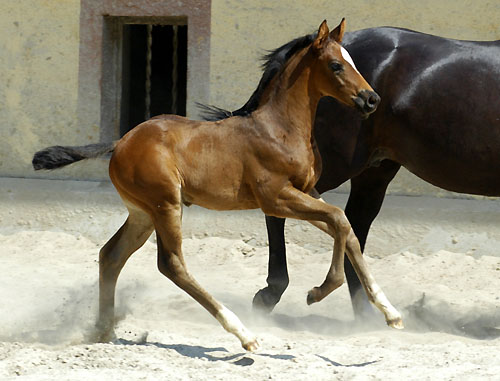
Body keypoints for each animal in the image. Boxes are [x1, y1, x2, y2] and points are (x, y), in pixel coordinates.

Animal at [32, 19, 402, 348]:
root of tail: (120, 142)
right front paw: (318, 291)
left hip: (142, 213)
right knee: (171, 264)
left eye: (354, 62)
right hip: (166, 204)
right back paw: (243, 334)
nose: (371, 99)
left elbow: (346, 229)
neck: (279, 128)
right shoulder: (276, 197)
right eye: (336, 65)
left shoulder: (307, 191)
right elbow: (340, 220)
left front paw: (390, 311)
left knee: (111, 255)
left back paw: (103, 331)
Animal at [201, 26, 500, 316]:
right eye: (336, 66)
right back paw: (272, 294)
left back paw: (366, 314)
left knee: (350, 227)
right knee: (290, 214)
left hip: (374, 172)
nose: (371, 100)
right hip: (335, 166)